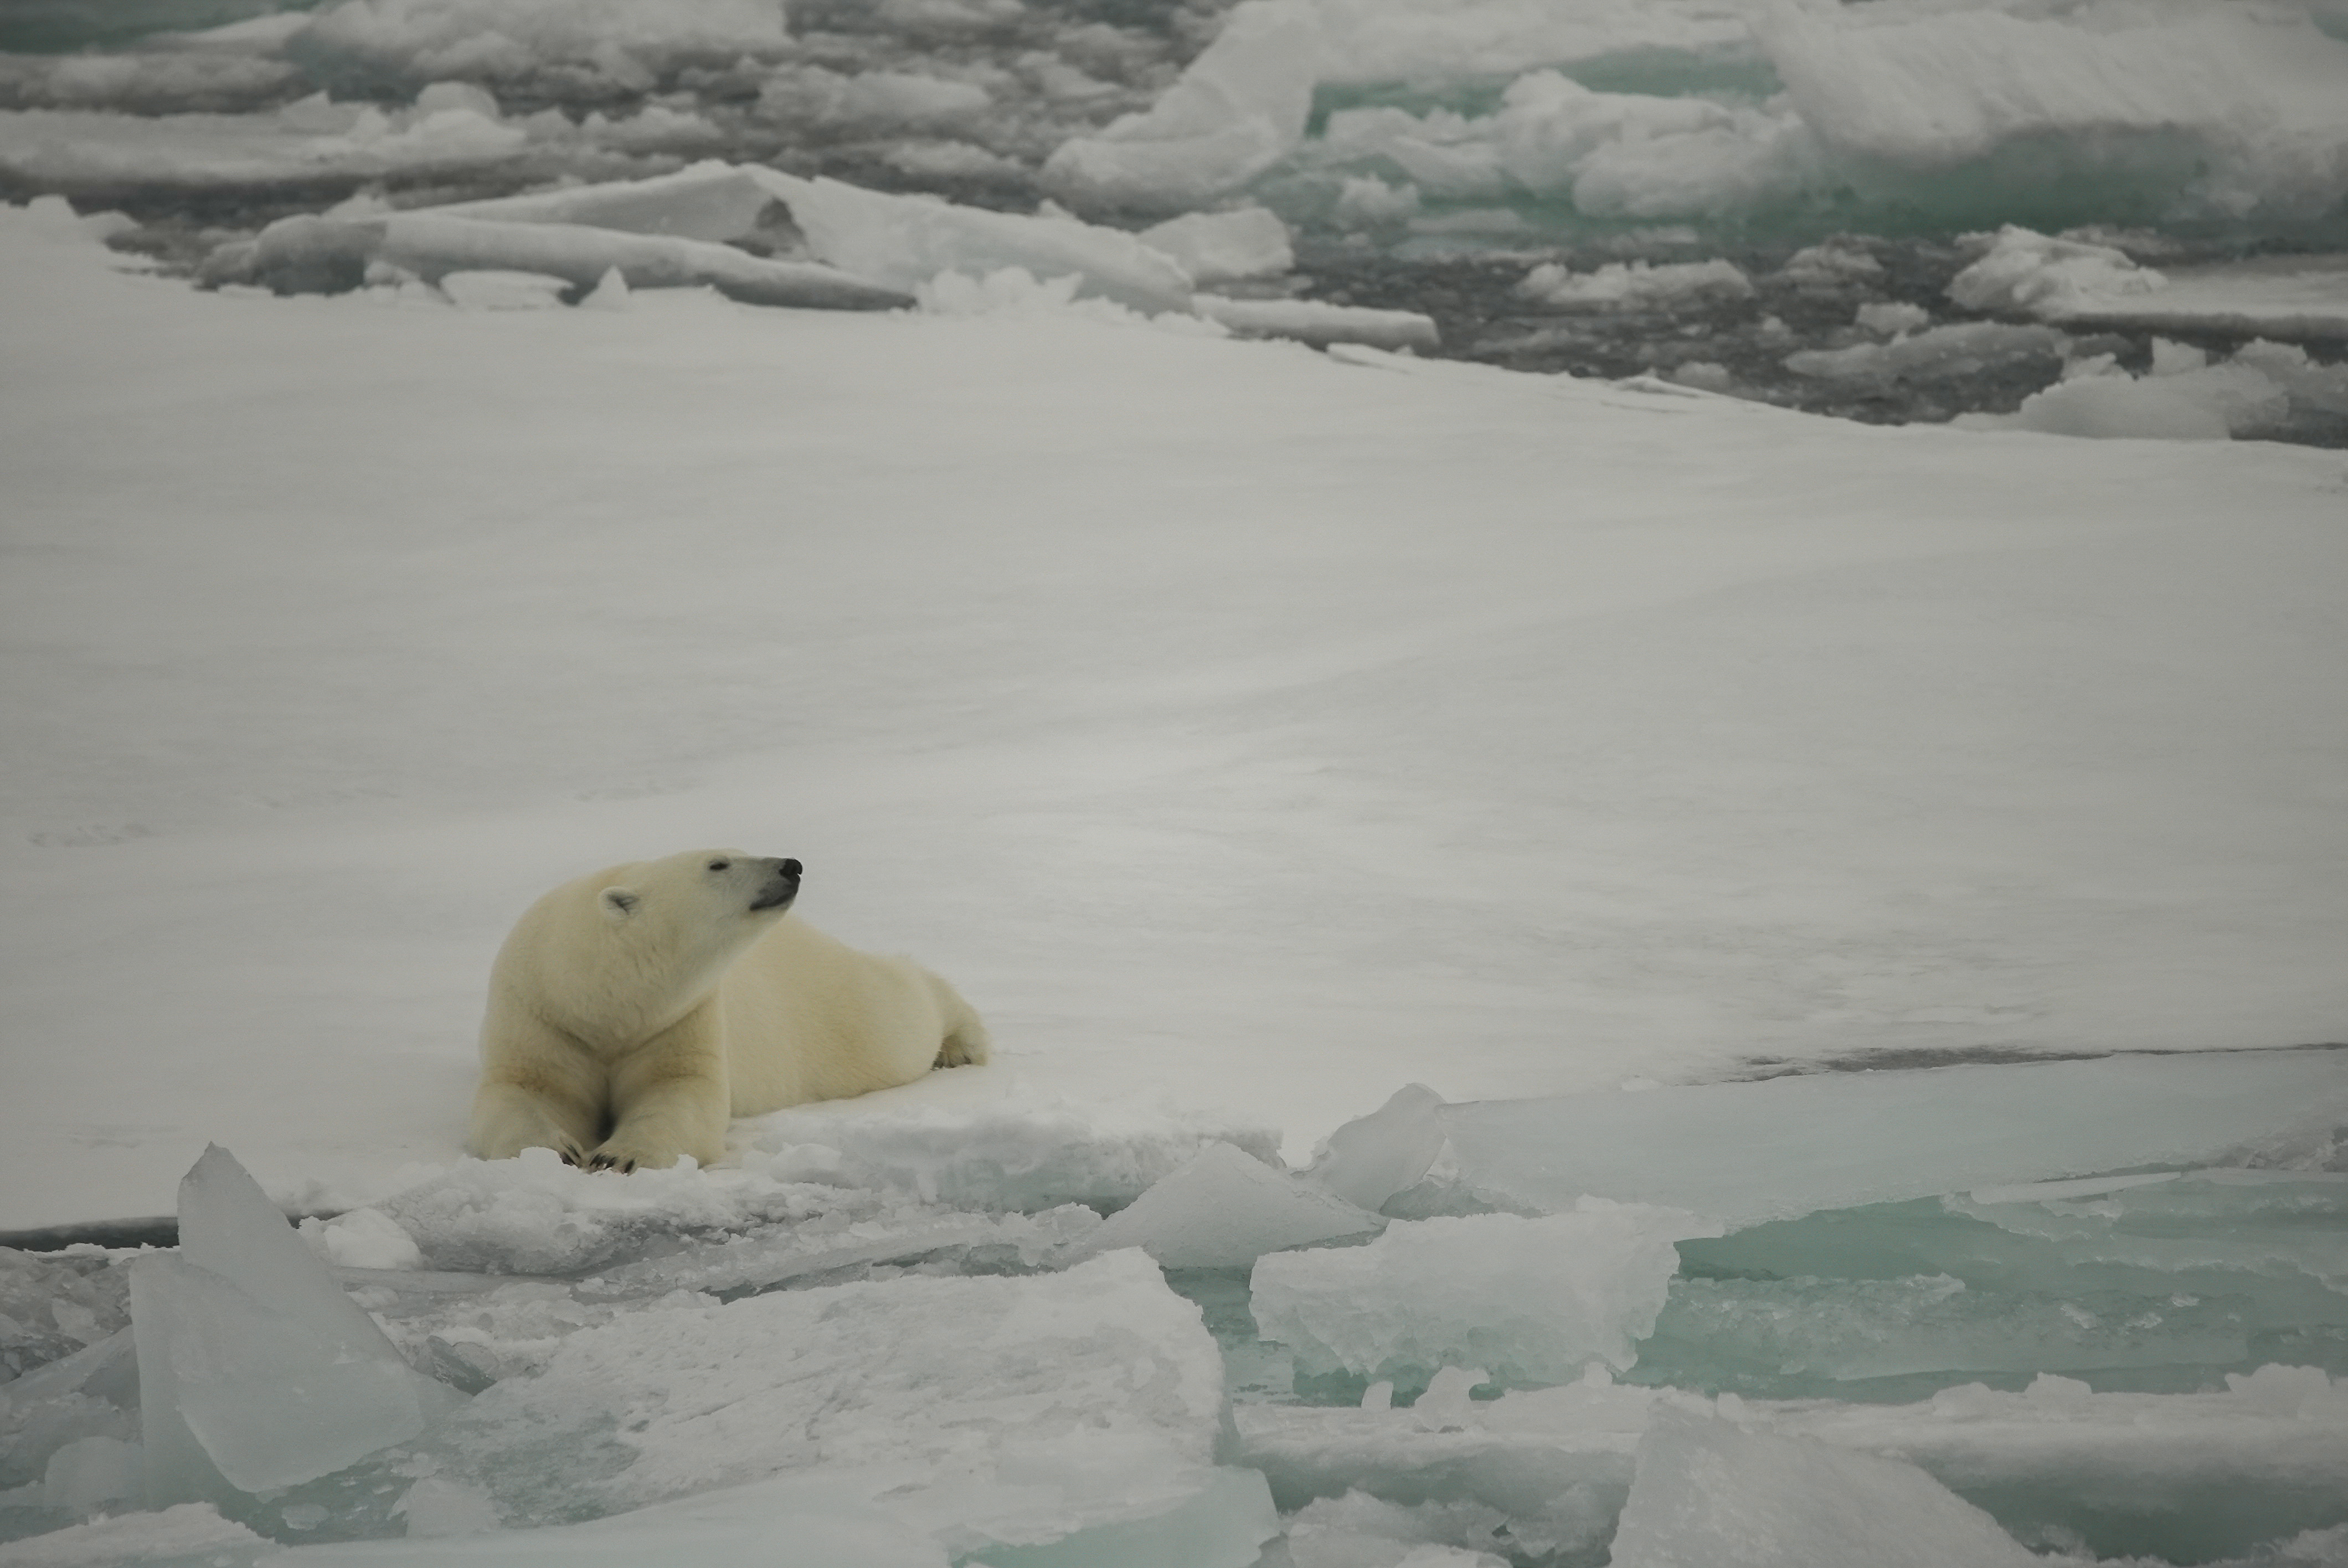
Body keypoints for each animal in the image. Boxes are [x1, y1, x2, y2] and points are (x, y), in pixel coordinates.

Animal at [468, 849, 989, 1172]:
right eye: (718, 863)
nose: (791, 866)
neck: (596, 998)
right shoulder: (541, 1016)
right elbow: (525, 1090)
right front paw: (556, 1151)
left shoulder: (681, 1019)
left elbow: (680, 1093)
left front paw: (620, 1156)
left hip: (832, 1009)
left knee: (901, 1013)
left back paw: (962, 1044)